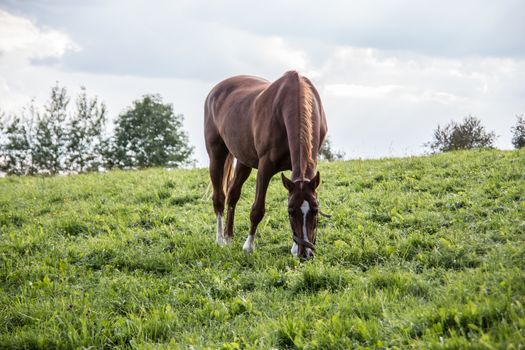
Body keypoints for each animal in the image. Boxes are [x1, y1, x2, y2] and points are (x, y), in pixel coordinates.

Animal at [203, 69, 326, 258]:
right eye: (291, 212)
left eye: (315, 209)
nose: (305, 254)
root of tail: (214, 92)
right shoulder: (265, 168)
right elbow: (257, 209)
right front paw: (248, 246)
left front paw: (294, 247)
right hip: (216, 156)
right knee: (219, 198)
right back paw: (221, 240)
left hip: (244, 161)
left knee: (233, 195)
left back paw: (229, 237)